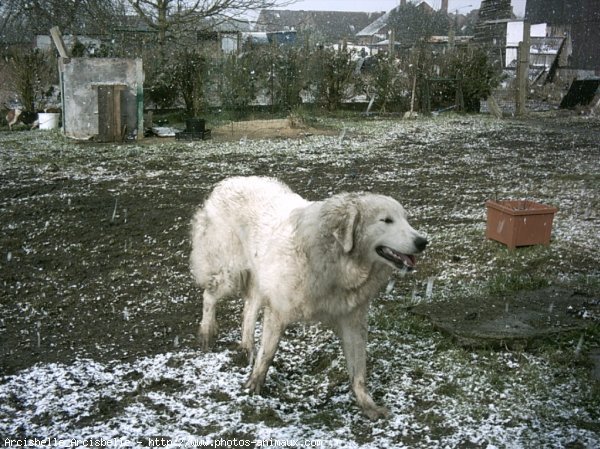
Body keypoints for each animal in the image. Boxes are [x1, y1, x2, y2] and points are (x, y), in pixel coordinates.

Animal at [190, 175, 428, 416]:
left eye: (405, 219)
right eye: (386, 220)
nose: (423, 242)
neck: (336, 259)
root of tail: (229, 181)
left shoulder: (352, 320)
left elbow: (359, 370)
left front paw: (367, 404)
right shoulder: (278, 310)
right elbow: (268, 353)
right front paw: (254, 386)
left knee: (249, 308)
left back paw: (247, 347)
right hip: (231, 274)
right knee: (209, 296)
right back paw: (207, 332)